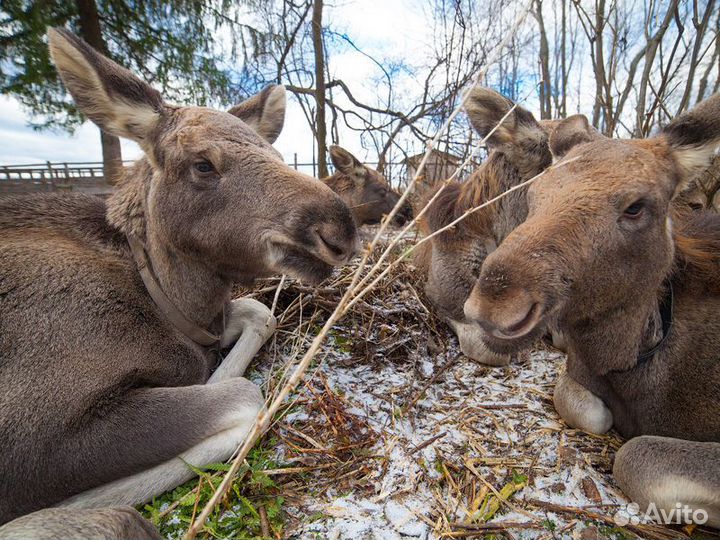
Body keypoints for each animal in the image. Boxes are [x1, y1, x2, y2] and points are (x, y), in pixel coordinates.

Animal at [0, 28, 358, 536]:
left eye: (274, 153)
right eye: (203, 163)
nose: (339, 229)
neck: (165, 302)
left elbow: (258, 314)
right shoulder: (33, 438)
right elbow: (244, 396)